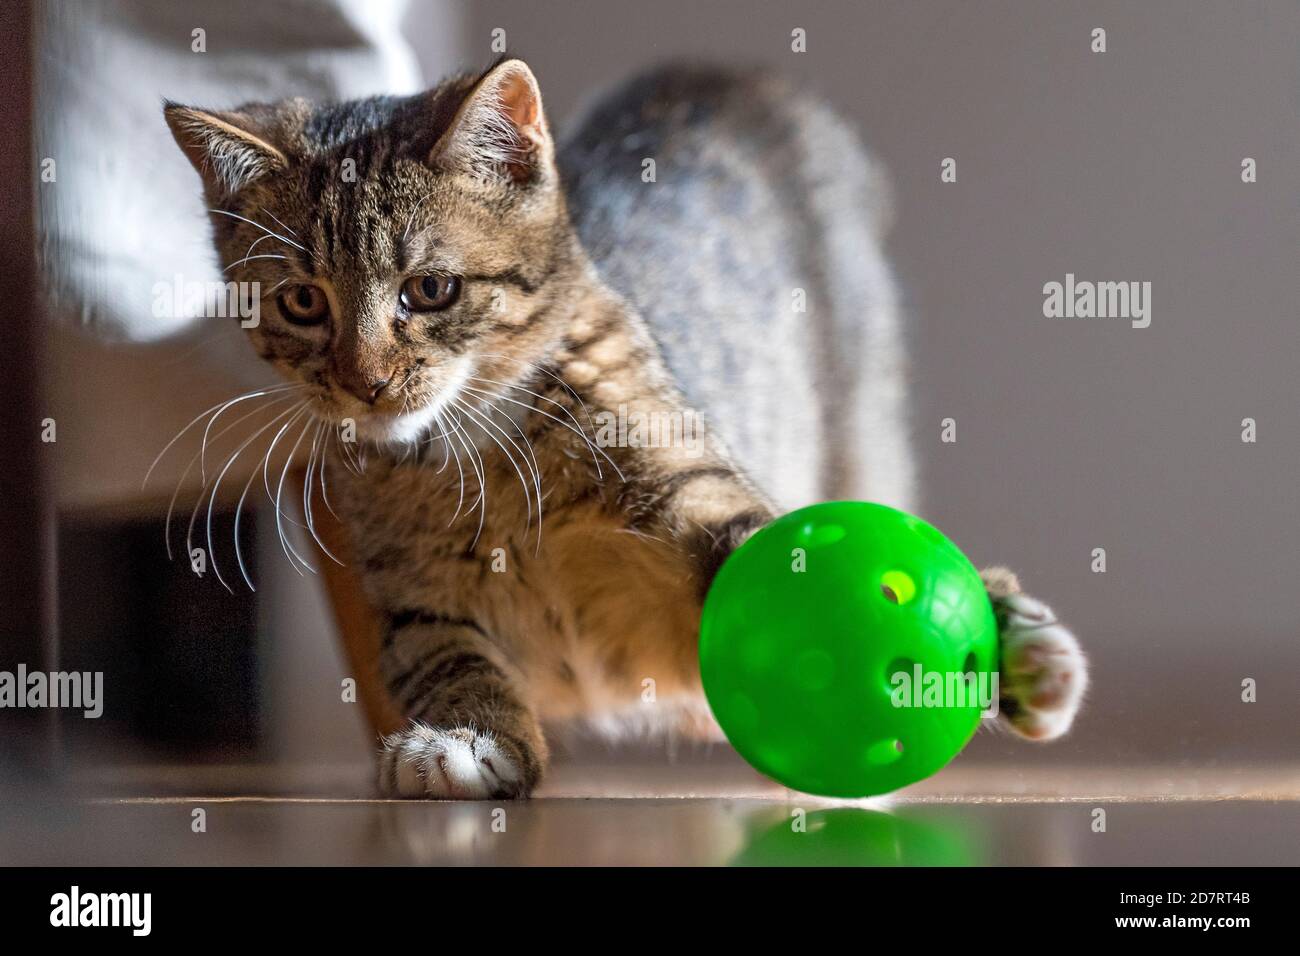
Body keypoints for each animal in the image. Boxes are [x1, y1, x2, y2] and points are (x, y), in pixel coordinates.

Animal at [167, 55, 1092, 796]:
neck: (479, 454)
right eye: (302, 302)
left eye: (429, 290)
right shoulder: (413, 605)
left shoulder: (700, 494)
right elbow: (449, 665)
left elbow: (787, 544)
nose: (366, 383)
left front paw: (1007, 641)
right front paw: (468, 739)